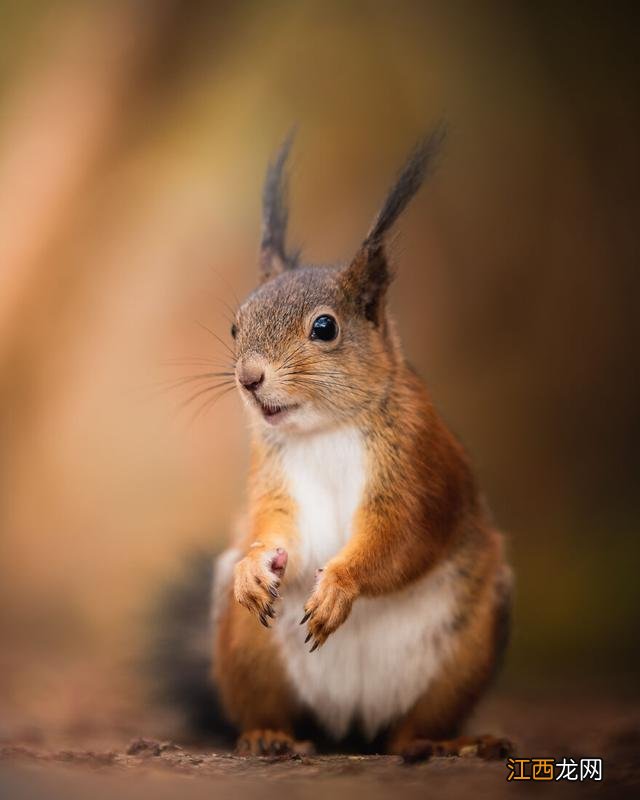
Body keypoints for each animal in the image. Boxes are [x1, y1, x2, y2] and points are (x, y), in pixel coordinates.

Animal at [202, 123, 512, 756]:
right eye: (235, 325)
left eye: (325, 327)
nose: (248, 378)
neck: (324, 428)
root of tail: (350, 725)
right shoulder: (274, 475)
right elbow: (276, 527)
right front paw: (255, 564)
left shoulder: (419, 466)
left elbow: (403, 537)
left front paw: (340, 584)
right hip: (245, 648)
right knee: (272, 708)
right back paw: (269, 736)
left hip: (469, 644)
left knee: (416, 726)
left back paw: (440, 744)